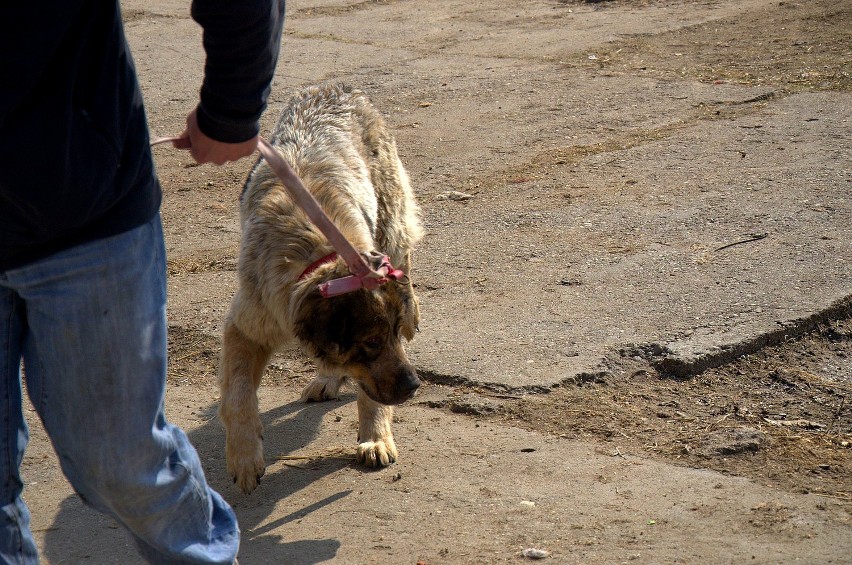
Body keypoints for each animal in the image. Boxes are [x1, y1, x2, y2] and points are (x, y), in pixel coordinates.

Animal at [216, 83, 422, 494]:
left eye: (395, 334)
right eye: (370, 342)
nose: (414, 386)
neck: (323, 254)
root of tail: (337, 87)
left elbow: (370, 394)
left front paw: (375, 436)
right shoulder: (246, 326)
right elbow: (238, 394)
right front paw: (245, 456)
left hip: (393, 233)